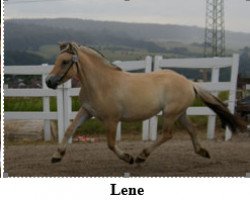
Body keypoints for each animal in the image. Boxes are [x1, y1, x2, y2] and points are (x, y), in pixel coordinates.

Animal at [45, 41, 246, 164]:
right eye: (57, 60)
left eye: (65, 62)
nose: (48, 82)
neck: (101, 83)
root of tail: (190, 83)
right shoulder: (87, 111)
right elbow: (69, 129)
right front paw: (56, 155)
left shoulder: (111, 119)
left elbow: (110, 143)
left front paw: (128, 157)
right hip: (180, 113)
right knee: (192, 130)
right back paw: (202, 152)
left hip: (170, 113)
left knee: (167, 134)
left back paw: (142, 156)